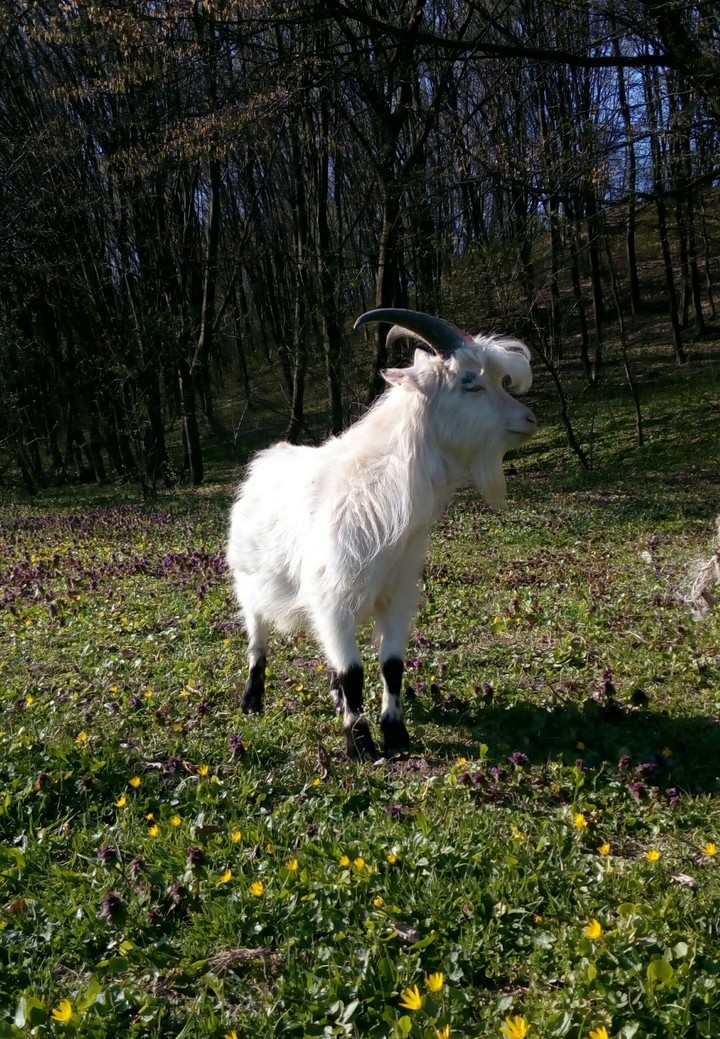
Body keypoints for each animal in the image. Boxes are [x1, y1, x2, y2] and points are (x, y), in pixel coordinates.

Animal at [226, 309, 537, 760]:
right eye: (471, 382)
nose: (529, 420)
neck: (377, 496)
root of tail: (269, 457)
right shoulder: (332, 600)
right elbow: (352, 672)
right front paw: (358, 743)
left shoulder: (397, 595)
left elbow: (391, 667)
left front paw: (396, 735)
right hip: (249, 585)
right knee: (257, 639)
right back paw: (252, 700)